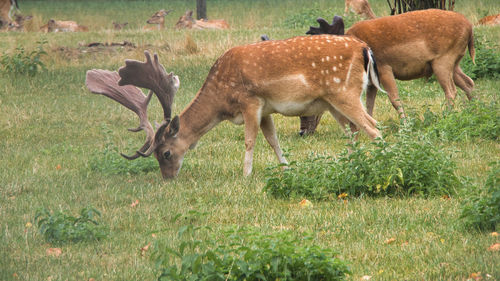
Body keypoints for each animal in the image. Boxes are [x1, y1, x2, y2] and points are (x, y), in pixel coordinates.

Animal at [86, 35, 384, 177]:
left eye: (166, 153)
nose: (167, 178)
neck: (222, 100)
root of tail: (364, 49)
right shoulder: (266, 110)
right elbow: (273, 140)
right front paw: (286, 168)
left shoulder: (250, 101)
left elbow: (250, 140)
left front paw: (246, 175)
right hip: (332, 102)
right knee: (353, 132)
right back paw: (351, 164)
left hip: (344, 93)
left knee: (373, 127)